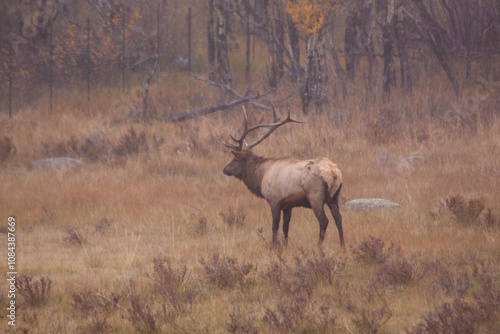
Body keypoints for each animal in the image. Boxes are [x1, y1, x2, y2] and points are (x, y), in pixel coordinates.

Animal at [224, 108, 344, 247]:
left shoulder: (274, 200)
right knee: (338, 218)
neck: (260, 176)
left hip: (315, 196)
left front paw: (274, 246)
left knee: (324, 221)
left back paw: (319, 247)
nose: (225, 169)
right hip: (334, 197)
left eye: (235, 159)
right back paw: (343, 246)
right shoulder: (288, 204)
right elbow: (286, 226)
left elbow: (274, 226)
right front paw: (286, 245)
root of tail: (333, 172)